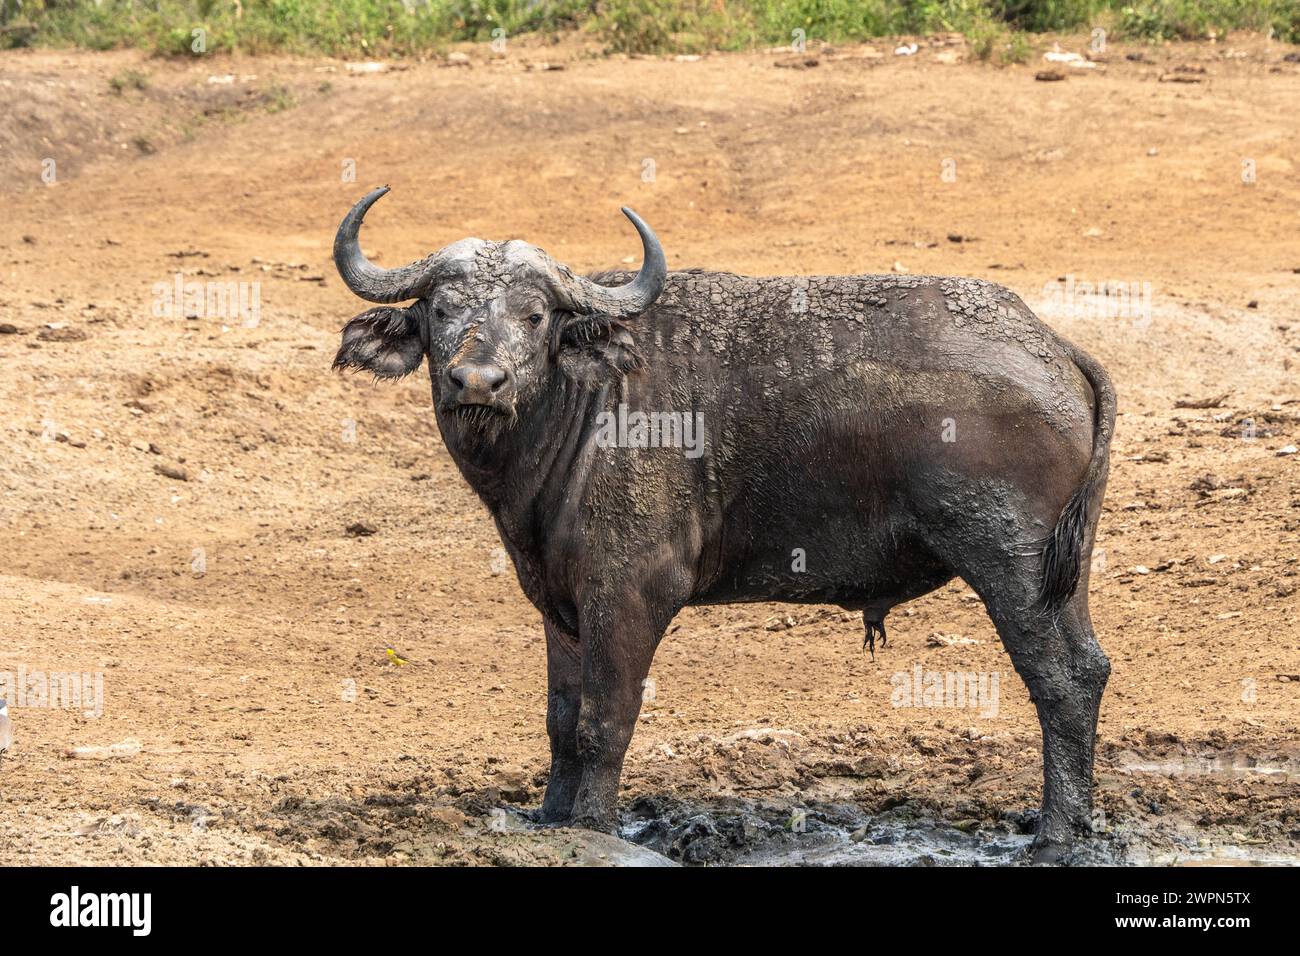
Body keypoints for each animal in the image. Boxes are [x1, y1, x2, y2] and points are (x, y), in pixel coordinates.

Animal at [332, 183, 1118, 863]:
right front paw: (551, 820)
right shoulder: (560, 599)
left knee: (1059, 679)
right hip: (1064, 575)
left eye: (533, 316)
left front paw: (594, 827)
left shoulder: (629, 593)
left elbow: (603, 721)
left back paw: (1054, 837)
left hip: (1011, 566)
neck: (580, 403)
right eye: (441, 310)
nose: (477, 382)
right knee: (1088, 666)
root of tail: (1053, 347)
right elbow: (560, 720)